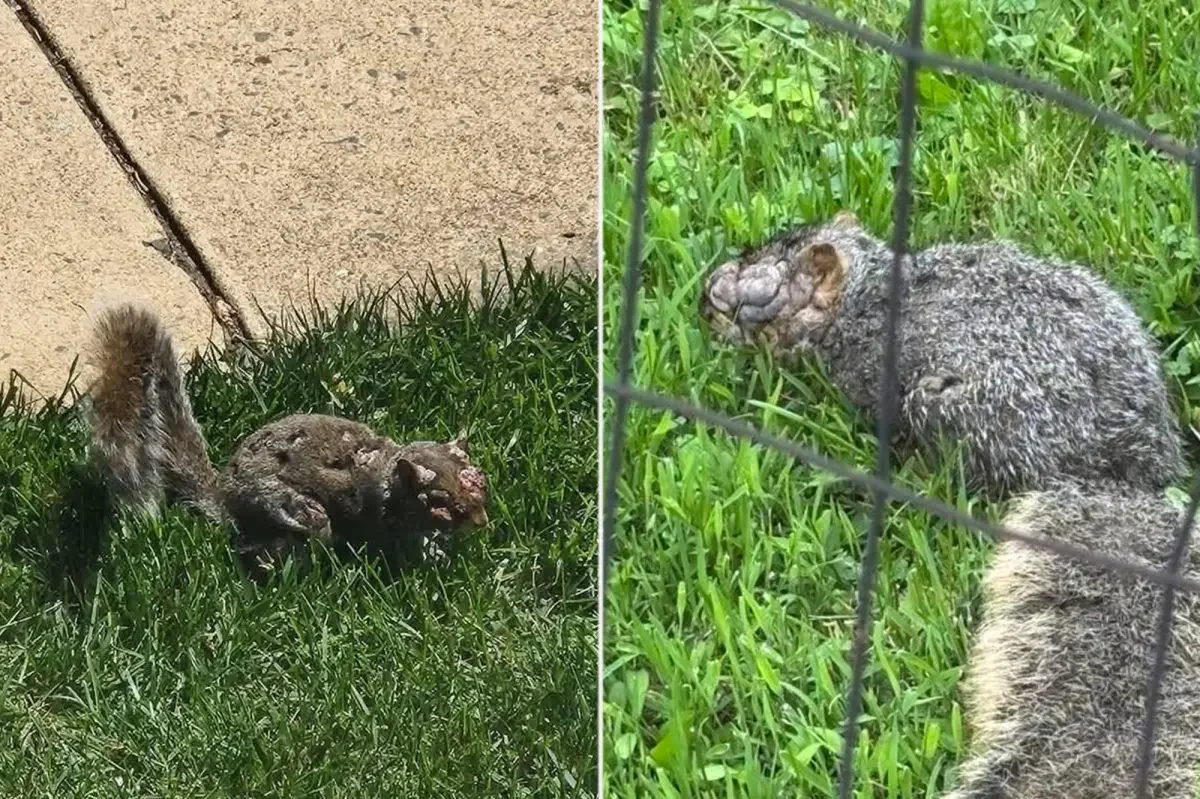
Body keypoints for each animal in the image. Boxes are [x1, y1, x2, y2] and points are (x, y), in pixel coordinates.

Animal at [86, 302, 490, 580]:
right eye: (439, 503)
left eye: (481, 480)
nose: (482, 522)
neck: (388, 471)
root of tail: (225, 496)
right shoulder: (381, 518)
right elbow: (395, 546)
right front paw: (425, 559)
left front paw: (439, 550)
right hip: (288, 509)